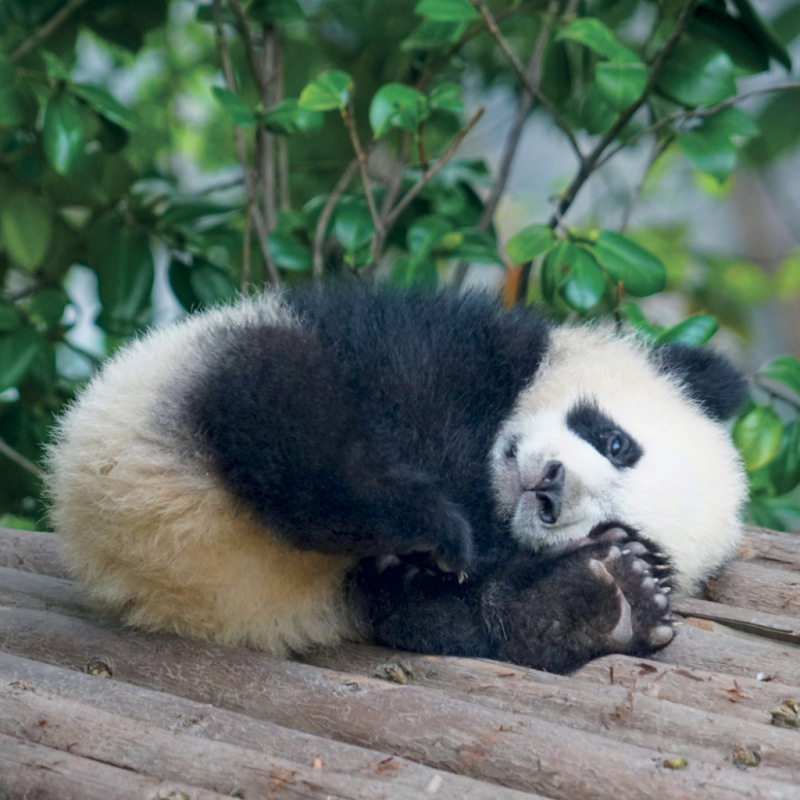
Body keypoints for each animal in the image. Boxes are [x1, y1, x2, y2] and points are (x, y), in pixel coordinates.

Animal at [45, 281, 748, 673]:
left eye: (611, 520)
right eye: (616, 441)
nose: (549, 490)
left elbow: (440, 611)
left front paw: (612, 587)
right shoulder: (449, 346)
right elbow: (409, 385)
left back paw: (602, 602)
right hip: (173, 390)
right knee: (281, 413)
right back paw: (424, 519)